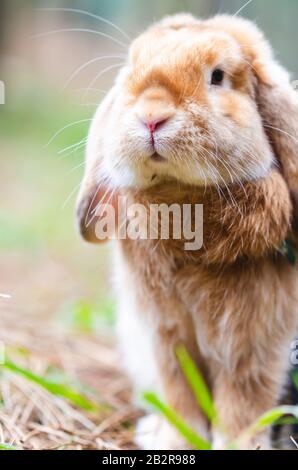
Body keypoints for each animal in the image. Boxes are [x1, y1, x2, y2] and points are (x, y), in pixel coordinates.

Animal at [76, 12, 298, 450]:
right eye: (132, 69)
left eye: (218, 76)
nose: (151, 116)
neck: (183, 202)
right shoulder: (165, 334)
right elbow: (179, 388)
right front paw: (175, 439)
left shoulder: (254, 344)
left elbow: (244, 399)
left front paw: (237, 444)